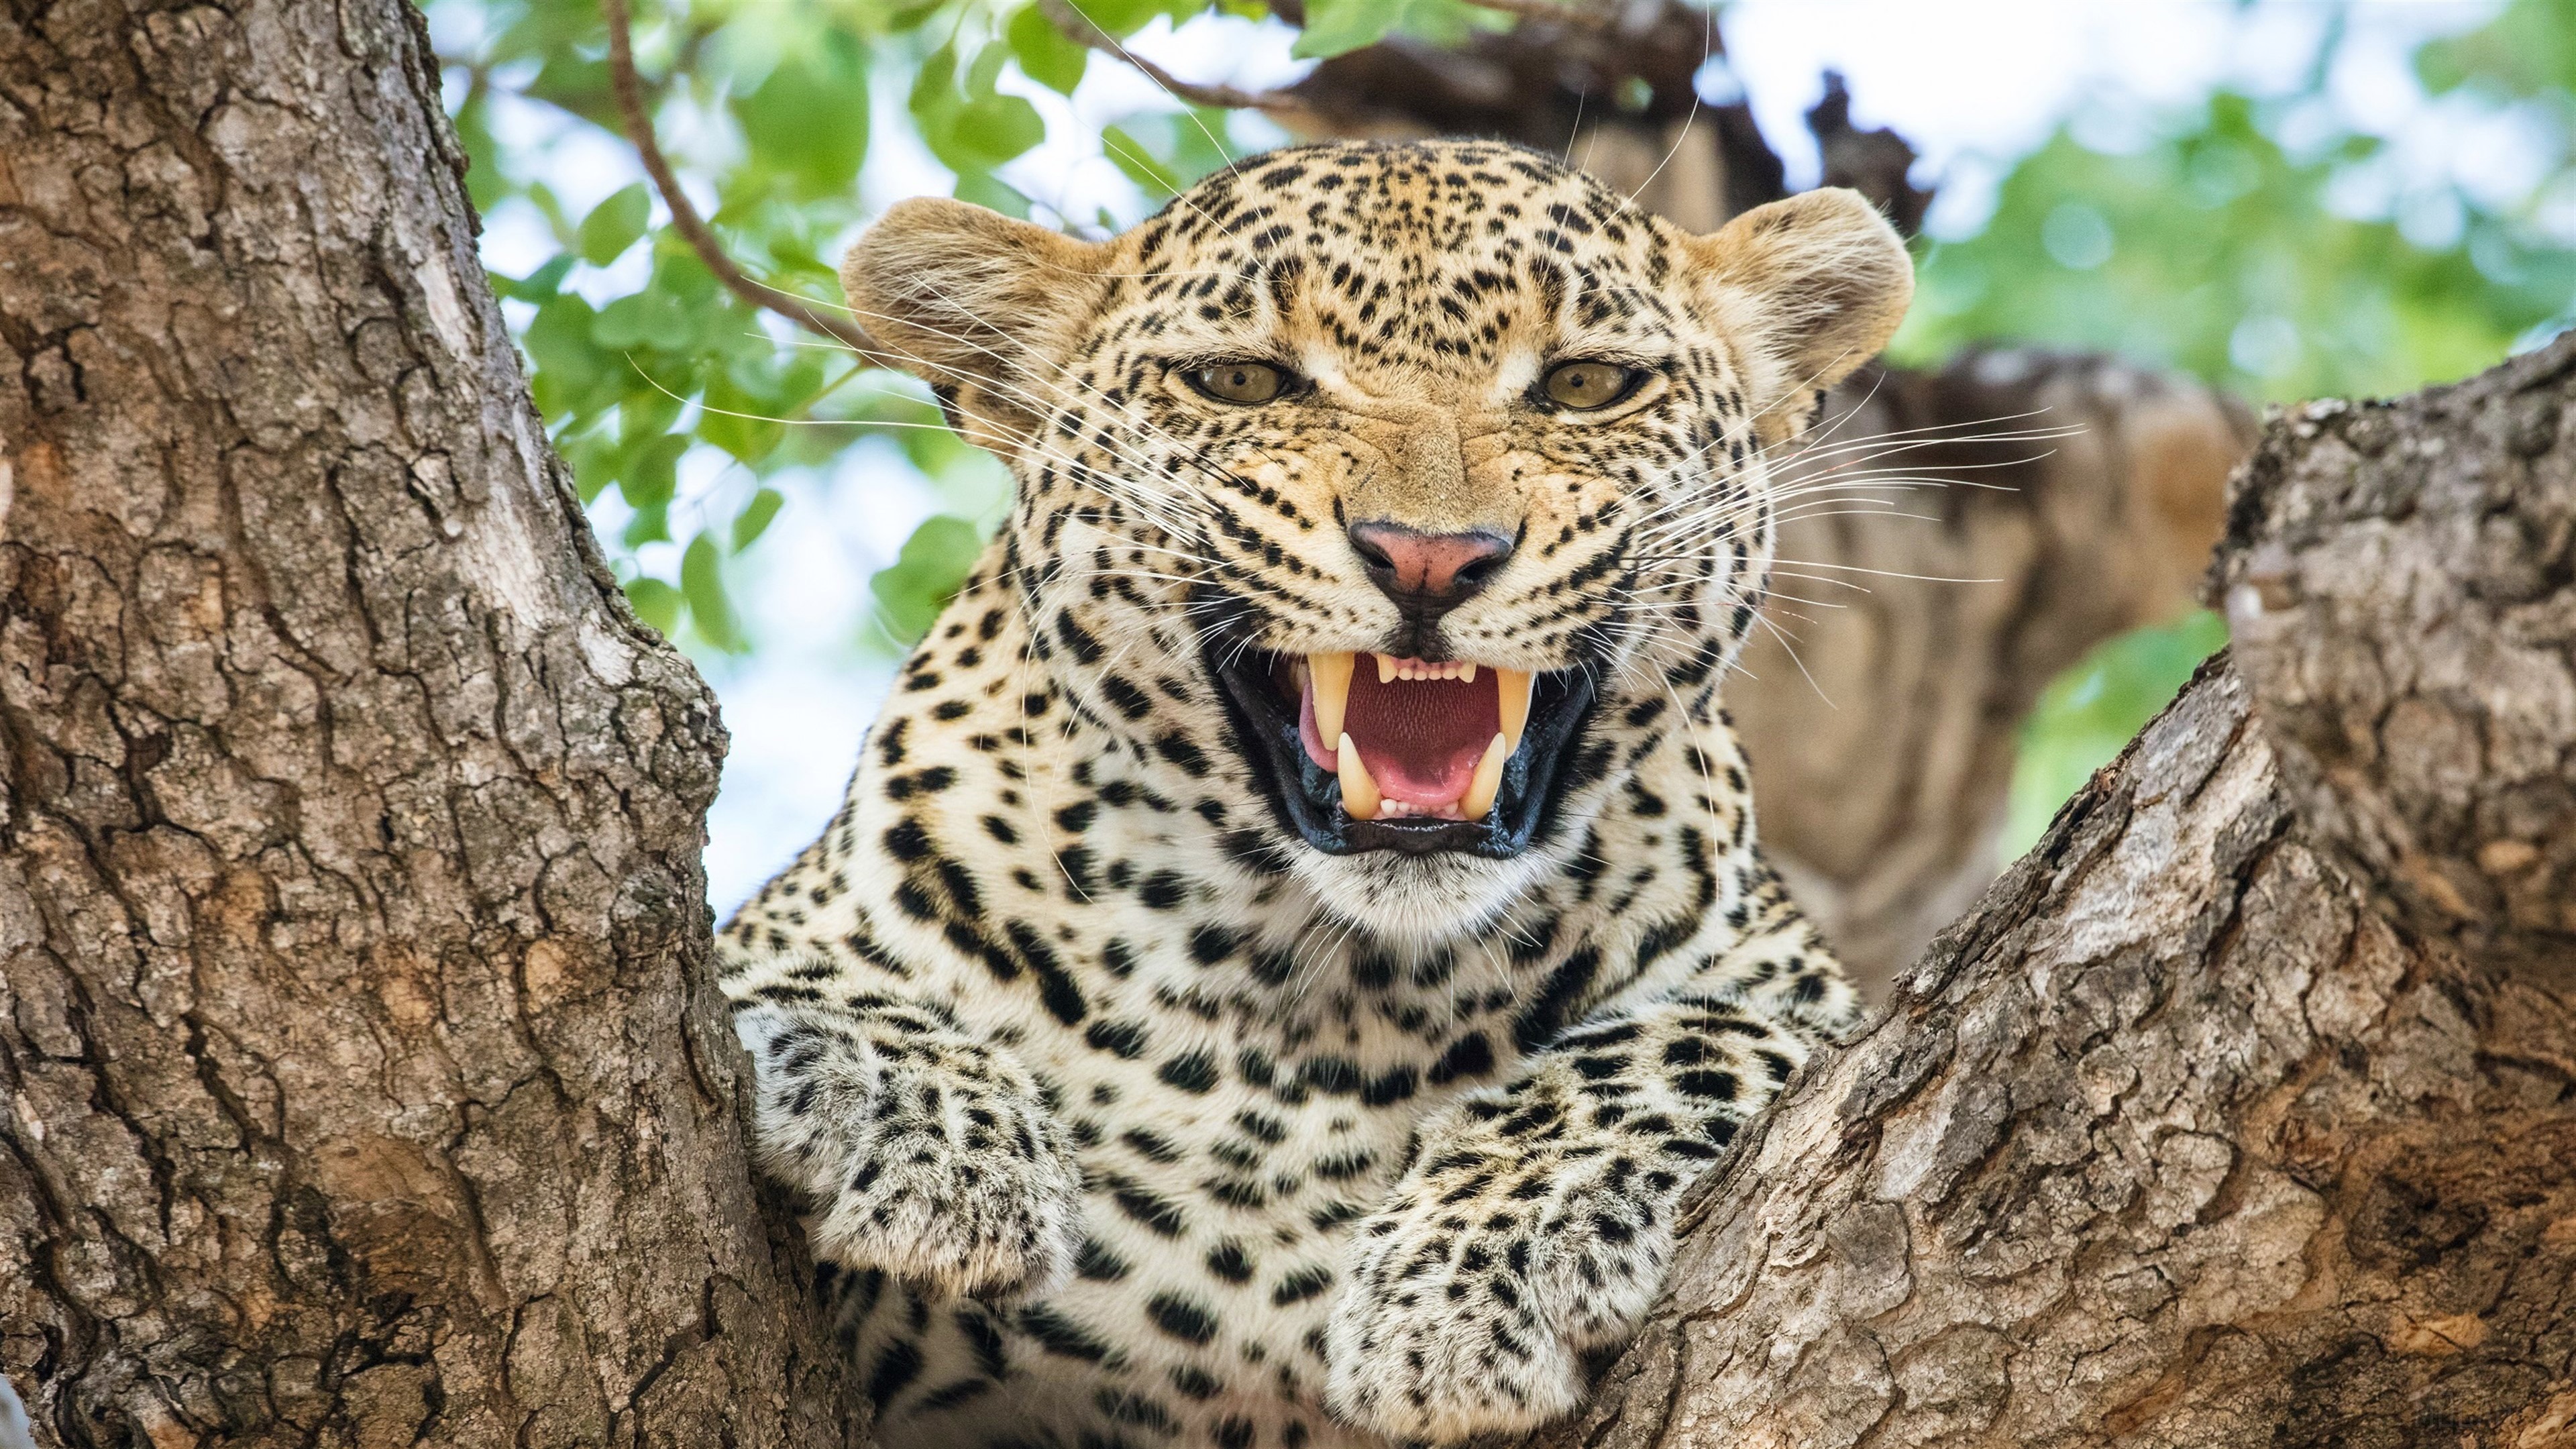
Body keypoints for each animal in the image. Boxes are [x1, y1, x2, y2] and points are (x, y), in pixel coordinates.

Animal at [717, 136, 1912, 1449]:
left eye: (1589, 385)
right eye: (1241, 381)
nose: (1430, 558)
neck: (1324, 1002)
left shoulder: (1797, 997)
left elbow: (1695, 1039)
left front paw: (1469, 1277)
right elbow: (775, 980)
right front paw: (933, 1130)